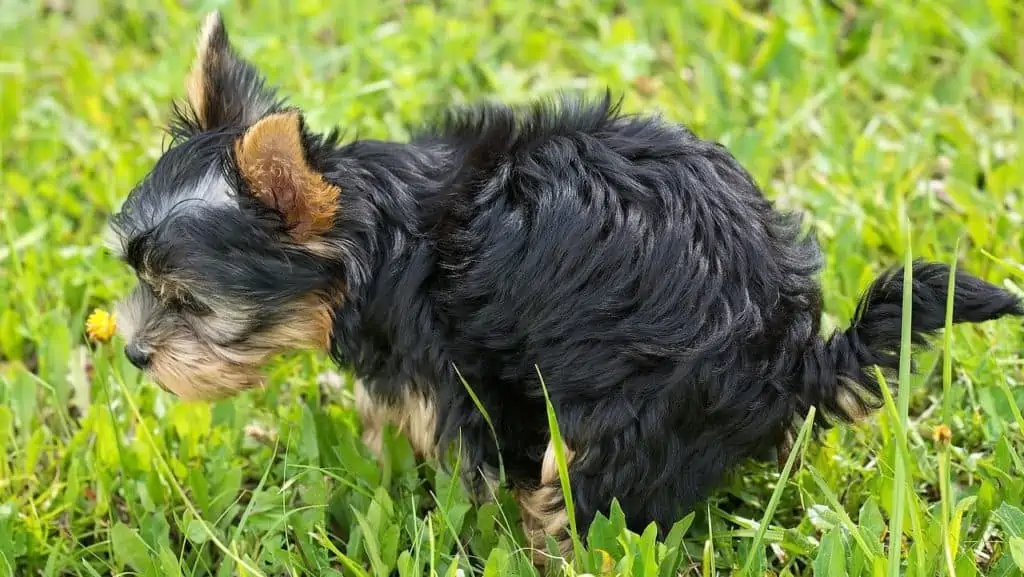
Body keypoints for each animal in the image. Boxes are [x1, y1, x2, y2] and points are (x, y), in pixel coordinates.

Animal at [105, 10, 1024, 565]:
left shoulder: (461, 371)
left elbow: (468, 456)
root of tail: (794, 353)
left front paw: (455, 520)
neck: (378, 232)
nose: (136, 354)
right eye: (141, 279)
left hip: (635, 411)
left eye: (190, 301)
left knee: (593, 493)